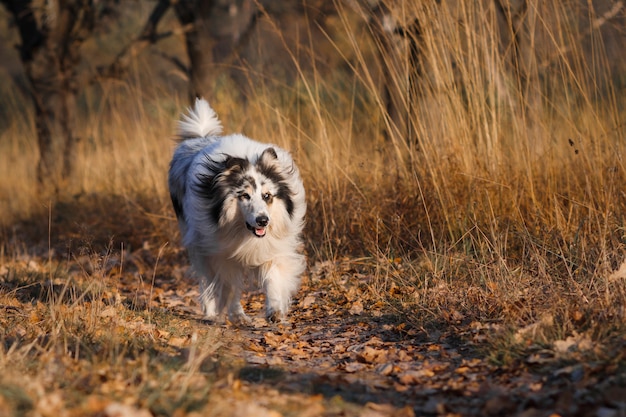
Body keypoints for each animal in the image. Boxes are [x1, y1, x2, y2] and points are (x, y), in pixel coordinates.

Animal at [167, 99, 306, 324]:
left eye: (267, 196)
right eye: (245, 196)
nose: (263, 221)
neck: (243, 232)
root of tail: (199, 138)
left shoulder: (272, 245)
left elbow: (273, 277)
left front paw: (275, 311)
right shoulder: (221, 253)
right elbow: (230, 285)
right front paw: (237, 315)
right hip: (197, 243)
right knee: (206, 280)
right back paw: (211, 313)